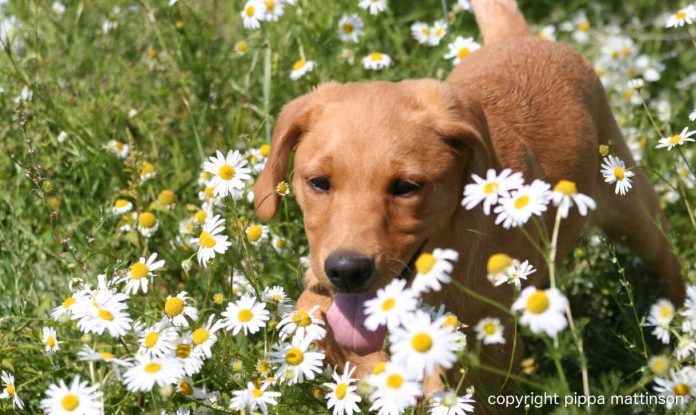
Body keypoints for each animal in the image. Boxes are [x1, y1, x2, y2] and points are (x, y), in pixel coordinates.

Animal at [251, 0, 684, 390]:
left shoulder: (491, 350)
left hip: (630, 206)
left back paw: (675, 326)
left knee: (665, 257)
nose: (346, 271)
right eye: (319, 183)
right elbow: (313, 312)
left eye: (405, 187)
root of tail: (520, 39)